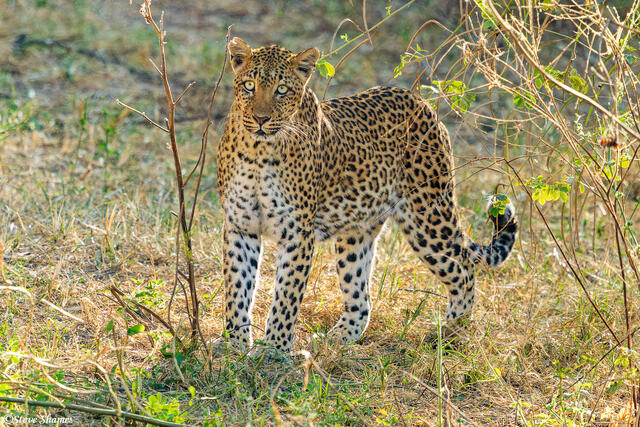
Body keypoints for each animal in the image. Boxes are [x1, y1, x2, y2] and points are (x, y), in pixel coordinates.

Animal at [216, 37, 518, 354]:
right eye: (249, 85)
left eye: (282, 89)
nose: (261, 119)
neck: (257, 152)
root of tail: (422, 103)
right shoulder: (240, 226)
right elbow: (237, 287)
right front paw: (234, 343)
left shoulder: (297, 233)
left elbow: (286, 295)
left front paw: (273, 349)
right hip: (357, 231)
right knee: (361, 296)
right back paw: (339, 337)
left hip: (428, 218)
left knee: (464, 269)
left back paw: (450, 333)